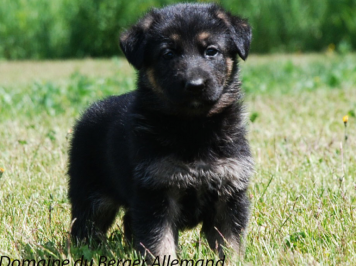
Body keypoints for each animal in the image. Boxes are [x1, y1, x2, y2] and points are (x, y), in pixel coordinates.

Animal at [68, 2, 253, 262]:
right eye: (168, 54)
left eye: (211, 51)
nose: (195, 85)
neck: (193, 128)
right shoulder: (156, 193)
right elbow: (159, 243)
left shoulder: (228, 192)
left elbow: (230, 244)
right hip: (91, 195)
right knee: (84, 226)